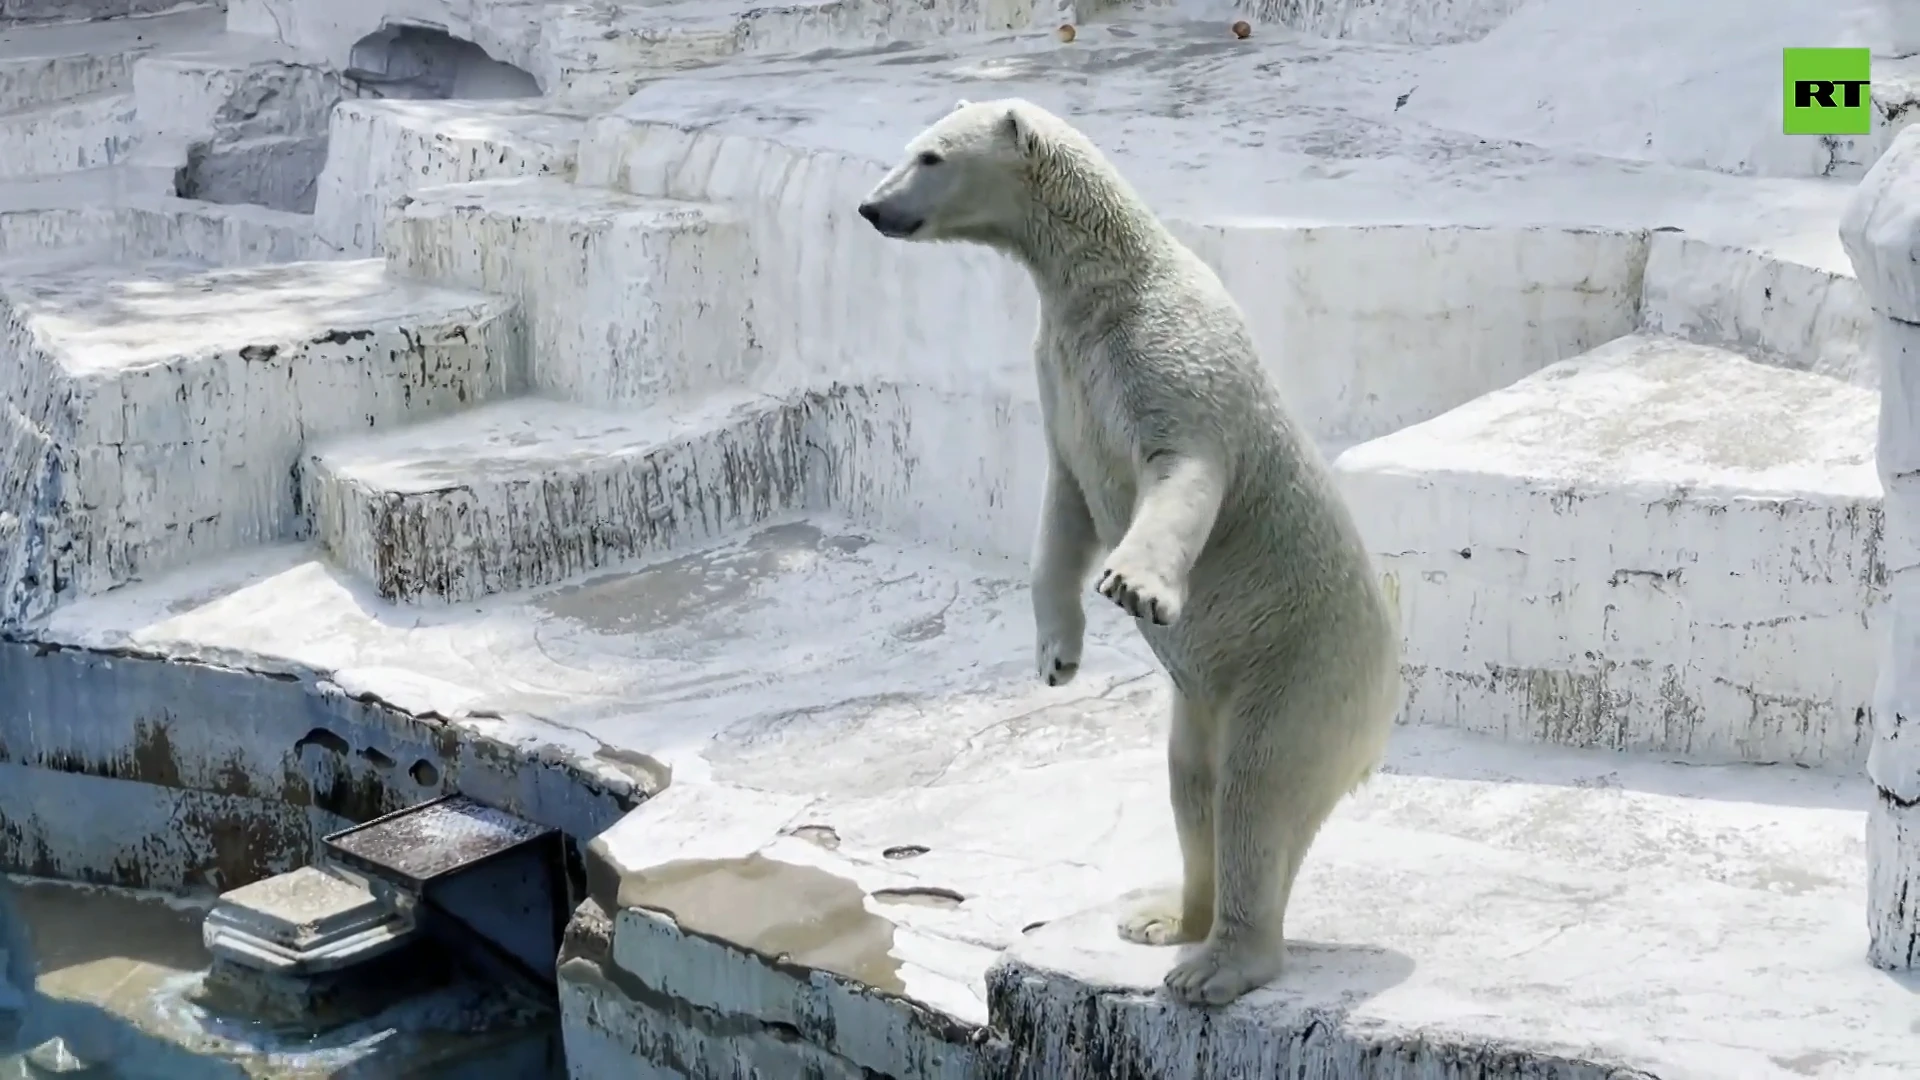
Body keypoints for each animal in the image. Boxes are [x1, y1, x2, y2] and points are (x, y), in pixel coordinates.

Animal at [864, 98, 1405, 999]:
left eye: (930, 157)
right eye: (908, 149)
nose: (871, 208)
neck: (1105, 282)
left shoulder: (1167, 355)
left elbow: (1183, 469)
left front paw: (1137, 586)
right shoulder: (1062, 376)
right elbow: (1064, 509)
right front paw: (1055, 654)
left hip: (1301, 667)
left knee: (1257, 787)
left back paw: (1216, 966)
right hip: (1204, 699)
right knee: (1192, 781)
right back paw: (1165, 918)